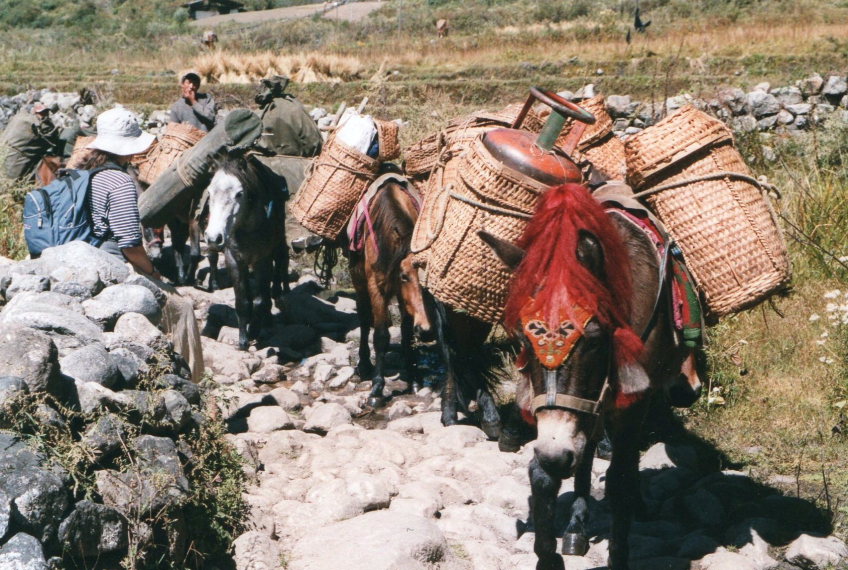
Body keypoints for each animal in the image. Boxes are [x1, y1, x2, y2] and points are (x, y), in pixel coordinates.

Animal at [346, 175, 434, 406]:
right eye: (404, 276)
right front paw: (377, 389)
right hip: (358, 281)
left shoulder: (405, 299)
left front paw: (414, 379)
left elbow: (406, 335)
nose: (427, 330)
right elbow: (381, 336)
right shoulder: (376, 287)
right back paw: (364, 365)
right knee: (364, 319)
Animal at [480, 183, 700, 568]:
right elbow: (543, 474)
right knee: (584, 459)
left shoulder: (631, 405)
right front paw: (550, 554)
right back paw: (576, 528)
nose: (556, 454)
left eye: (595, 339)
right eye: (521, 339)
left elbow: (619, 478)